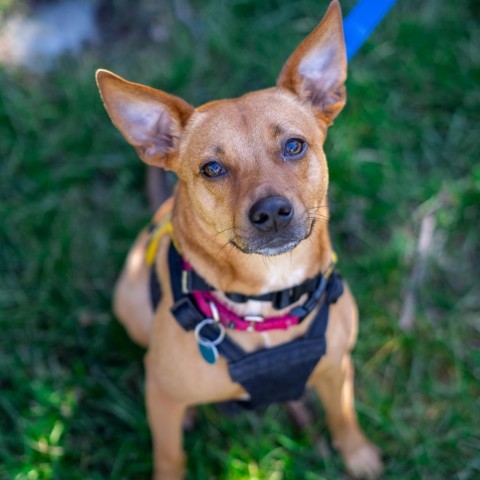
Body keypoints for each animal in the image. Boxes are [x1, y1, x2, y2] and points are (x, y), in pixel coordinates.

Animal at [96, 1, 382, 478]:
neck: (265, 302)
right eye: (212, 169)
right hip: (130, 304)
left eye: (294, 146)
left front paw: (358, 456)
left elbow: (344, 415)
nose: (271, 213)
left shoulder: (337, 368)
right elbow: (169, 454)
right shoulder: (164, 397)